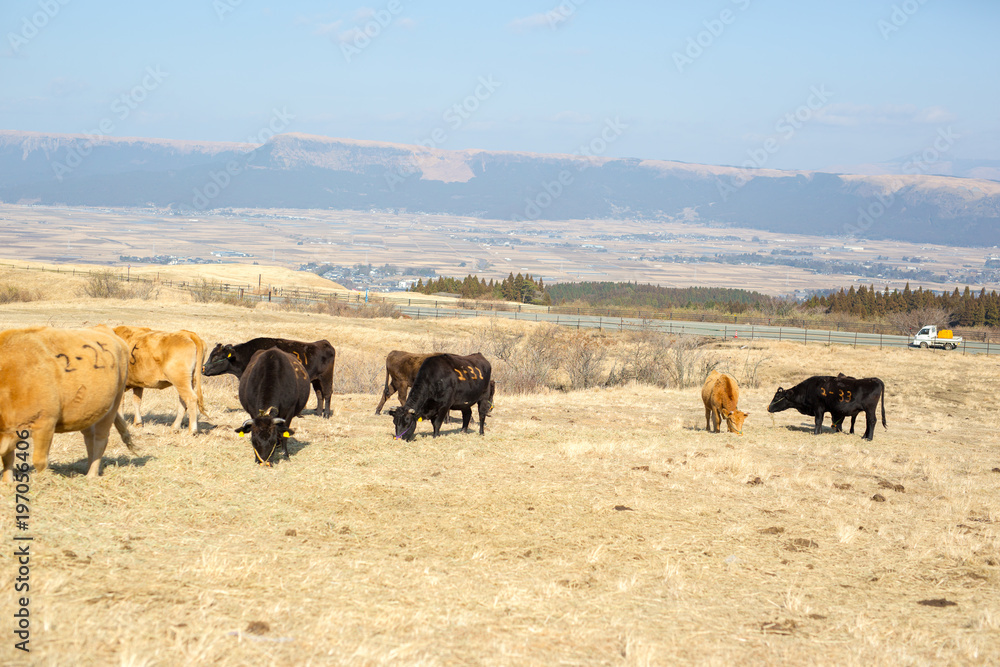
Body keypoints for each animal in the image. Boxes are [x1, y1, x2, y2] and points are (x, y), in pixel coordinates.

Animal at [0, 324, 134, 480]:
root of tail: (104, 329)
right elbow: (8, 458)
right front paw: (8, 482)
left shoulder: (45, 423)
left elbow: (39, 460)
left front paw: (42, 481)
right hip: (89, 412)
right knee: (89, 438)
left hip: (113, 405)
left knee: (101, 439)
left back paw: (91, 475)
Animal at [203, 340, 336, 418]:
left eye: (216, 357)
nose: (202, 369)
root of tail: (324, 342)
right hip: (316, 380)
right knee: (319, 394)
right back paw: (318, 413)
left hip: (326, 377)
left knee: (327, 393)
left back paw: (326, 414)